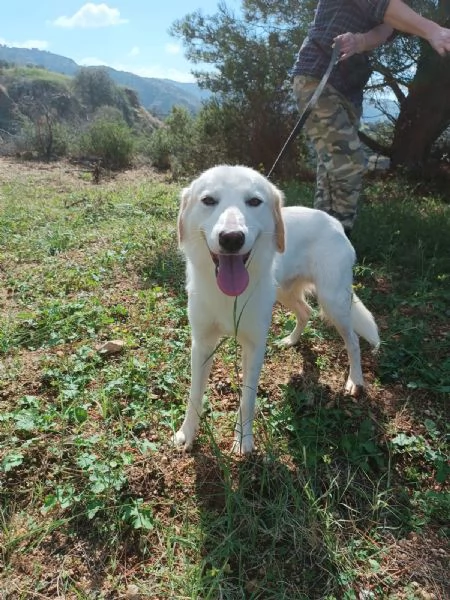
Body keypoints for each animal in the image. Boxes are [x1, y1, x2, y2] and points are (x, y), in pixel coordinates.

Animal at [174, 166, 378, 452]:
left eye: (254, 201)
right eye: (208, 200)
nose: (231, 239)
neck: (228, 295)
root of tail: (334, 222)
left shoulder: (254, 346)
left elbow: (248, 398)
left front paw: (243, 440)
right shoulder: (202, 343)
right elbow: (194, 393)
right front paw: (187, 433)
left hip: (334, 301)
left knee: (353, 341)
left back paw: (355, 380)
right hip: (284, 291)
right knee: (305, 311)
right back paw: (291, 340)